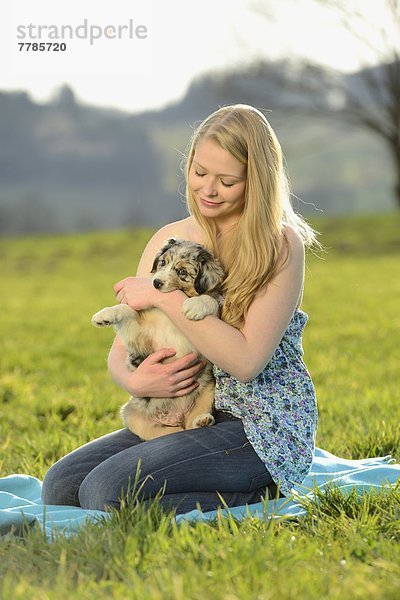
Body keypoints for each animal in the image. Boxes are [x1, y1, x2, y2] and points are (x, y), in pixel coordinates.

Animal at [92, 239, 227, 440]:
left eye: (182, 272)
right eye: (163, 262)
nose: (156, 283)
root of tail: (176, 417)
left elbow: (211, 299)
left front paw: (194, 306)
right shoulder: (141, 335)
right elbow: (127, 310)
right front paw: (104, 315)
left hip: (209, 390)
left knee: (191, 425)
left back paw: (202, 420)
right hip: (131, 414)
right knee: (162, 433)